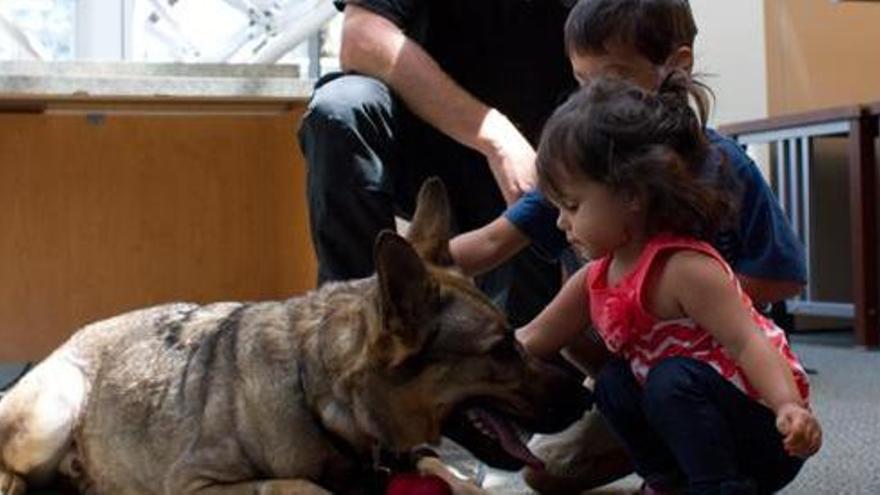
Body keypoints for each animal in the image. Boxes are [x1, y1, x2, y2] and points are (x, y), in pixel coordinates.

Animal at [0, 181, 592, 495]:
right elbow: (302, 485)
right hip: (54, 409)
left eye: (515, 337)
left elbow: (445, 469)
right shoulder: (195, 483)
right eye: (501, 350)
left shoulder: (412, 456)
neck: (319, 394)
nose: (589, 399)